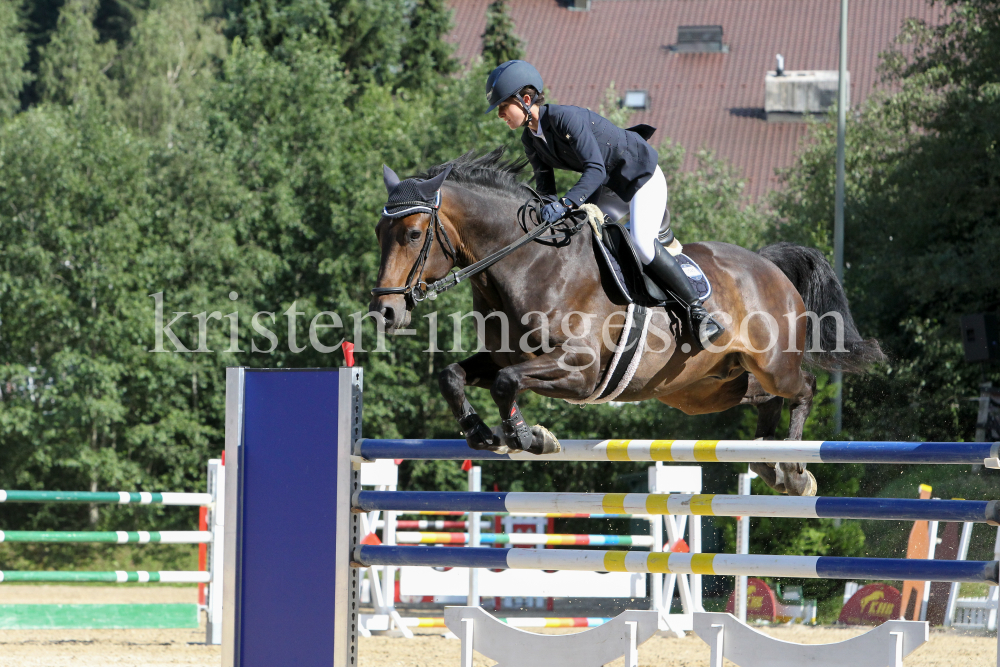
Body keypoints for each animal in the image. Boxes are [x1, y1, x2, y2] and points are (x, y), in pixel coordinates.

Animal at [372, 150, 888, 496]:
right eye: (380, 232)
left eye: (413, 234)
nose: (386, 312)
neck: (528, 263)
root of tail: (769, 265)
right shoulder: (505, 356)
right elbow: (454, 374)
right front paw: (481, 433)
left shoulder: (579, 370)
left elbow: (505, 383)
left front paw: (529, 437)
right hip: (705, 389)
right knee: (761, 399)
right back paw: (768, 463)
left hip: (771, 363)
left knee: (802, 388)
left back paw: (795, 470)